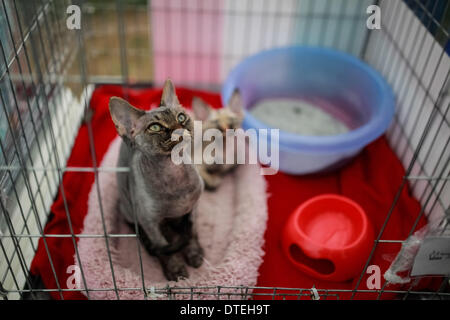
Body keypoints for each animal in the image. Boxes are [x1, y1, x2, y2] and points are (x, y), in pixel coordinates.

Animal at [110, 79, 205, 280]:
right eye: (155, 127)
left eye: (181, 117)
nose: (179, 128)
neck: (174, 172)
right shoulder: (150, 222)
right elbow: (164, 247)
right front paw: (176, 269)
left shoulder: (193, 208)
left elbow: (192, 233)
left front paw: (194, 254)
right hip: (129, 209)